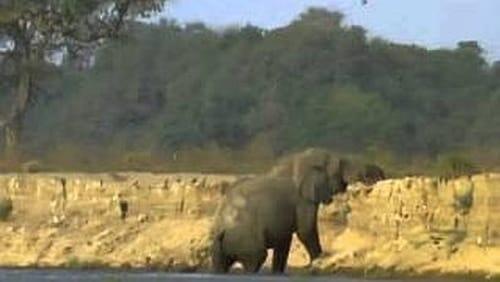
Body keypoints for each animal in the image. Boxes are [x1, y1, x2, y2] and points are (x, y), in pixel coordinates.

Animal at [210, 148, 348, 274]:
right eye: (337, 173)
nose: (345, 185)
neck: (301, 157)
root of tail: (222, 230)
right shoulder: (302, 200)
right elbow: (305, 231)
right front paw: (320, 262)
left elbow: (284, 241)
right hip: (246, 240)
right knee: (256, 258)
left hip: (219, 247)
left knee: (221, 265)